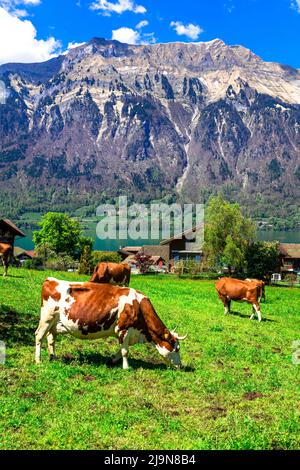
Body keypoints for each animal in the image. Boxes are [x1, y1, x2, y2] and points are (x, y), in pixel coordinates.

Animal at [34, 278, 185, 370]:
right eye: (177, 348)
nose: (180, 366)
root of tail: (51, 280)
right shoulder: (123, 329)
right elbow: (125, 351)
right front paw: (126, 367)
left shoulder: (130, 333)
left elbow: (120, 350)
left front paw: (112, 360)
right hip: (47, 317)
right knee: (39, 336)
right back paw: (38, 360)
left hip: (55, 323)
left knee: (51, 338)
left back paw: (53, 357)